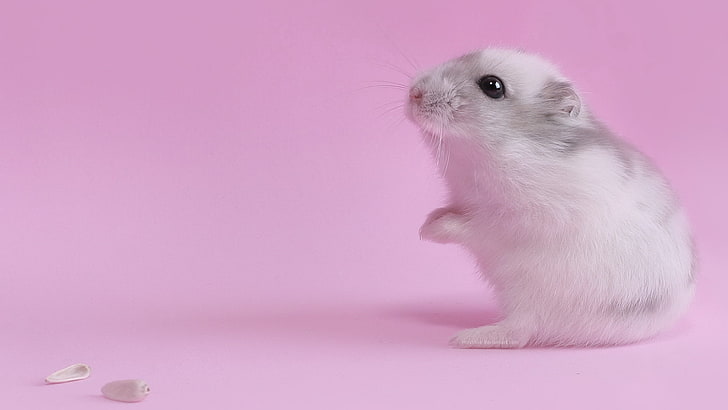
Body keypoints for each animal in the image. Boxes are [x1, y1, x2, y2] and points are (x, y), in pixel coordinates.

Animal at [406, 48, 696, 350]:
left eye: (492, 86)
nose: (414, 93)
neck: (504, 145)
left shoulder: (517, 219)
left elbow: (472, 225)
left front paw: (427, 232)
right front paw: (426, 222)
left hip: (533, 300)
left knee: (519, 333)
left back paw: (463, 338)